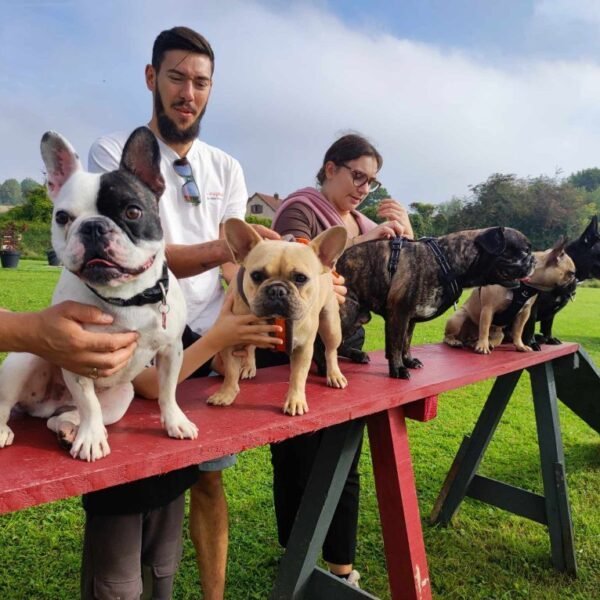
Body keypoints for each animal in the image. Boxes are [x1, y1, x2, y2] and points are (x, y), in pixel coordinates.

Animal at [206, 218, 346, 414]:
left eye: (301, 278)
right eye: (256, 275)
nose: (277, 290)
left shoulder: (303, 348)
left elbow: (298, 376)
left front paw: (295, 401)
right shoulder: (230, 339)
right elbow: (231, 371)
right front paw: (226, 393)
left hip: (331, 325)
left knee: (331, 350)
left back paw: (334, 374)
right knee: (250, 347)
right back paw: (248, 366)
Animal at [446, 238, 576, 354]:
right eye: (571, 273)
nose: (576, 282)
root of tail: (467, 338)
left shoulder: (525, 312)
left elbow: (518, 331)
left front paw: (520, 346)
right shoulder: (488, 309)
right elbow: (484, 329)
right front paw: (482, 346)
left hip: (500, 333)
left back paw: (482, 343)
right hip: (458, 318)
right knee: (449, 335)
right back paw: (456, 342)